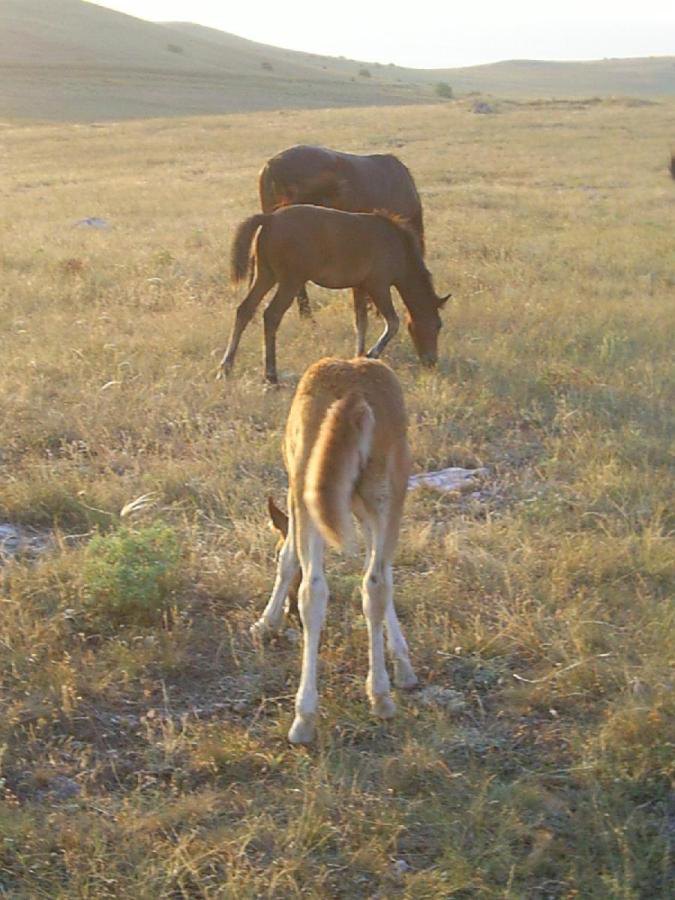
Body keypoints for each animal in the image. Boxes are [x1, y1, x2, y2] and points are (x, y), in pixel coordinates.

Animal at [219, 204, 448, 384]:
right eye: (437, 325)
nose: (432, 362)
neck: (396, 246)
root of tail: (270, 218)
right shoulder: (379, 286)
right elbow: (392, 322)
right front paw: (371, 354)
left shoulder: (360, 287)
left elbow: (361, 322)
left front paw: (359, 357)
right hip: (290, 282)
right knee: (271, 315)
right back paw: (270, 374)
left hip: (266, 276)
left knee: (245, 310)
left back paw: (226, 367)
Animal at [251, 356, 418, 740]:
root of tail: (354, 397)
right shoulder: (365, 510)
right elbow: (383, 575)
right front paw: (403, 664)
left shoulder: (295, 495)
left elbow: (286, 558)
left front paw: (266, 621)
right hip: (386, 490)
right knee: (374, 583)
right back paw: (380, 697)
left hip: (306, 488)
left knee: (313, 591)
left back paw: (304, 717)